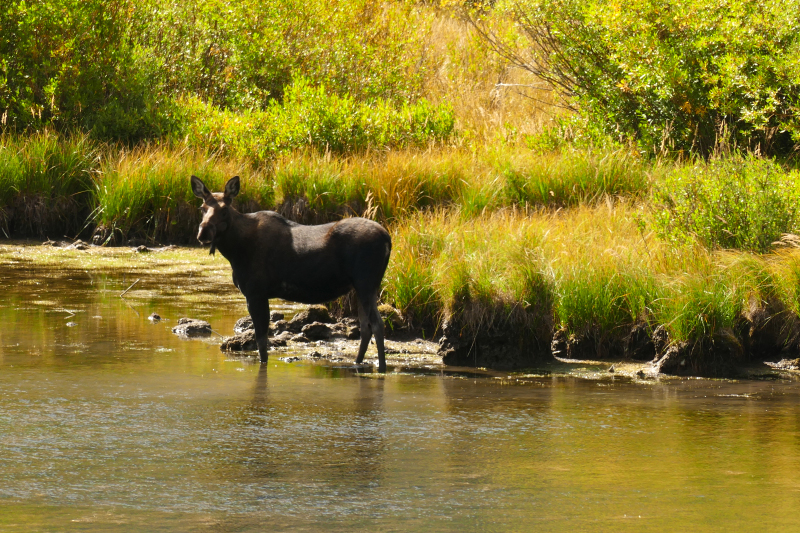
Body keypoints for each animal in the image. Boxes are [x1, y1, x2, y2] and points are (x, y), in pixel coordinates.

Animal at [194, 175, 394, 370]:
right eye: (202, 208)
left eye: (224, 210)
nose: (204, 233)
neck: (234, 251)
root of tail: (388, 239)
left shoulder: (255, 293)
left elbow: (262, 343)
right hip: (361, 287)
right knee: (366, 327)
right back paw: (357, 363)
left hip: (366, 283)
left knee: (377, 325)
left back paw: (382, 368)